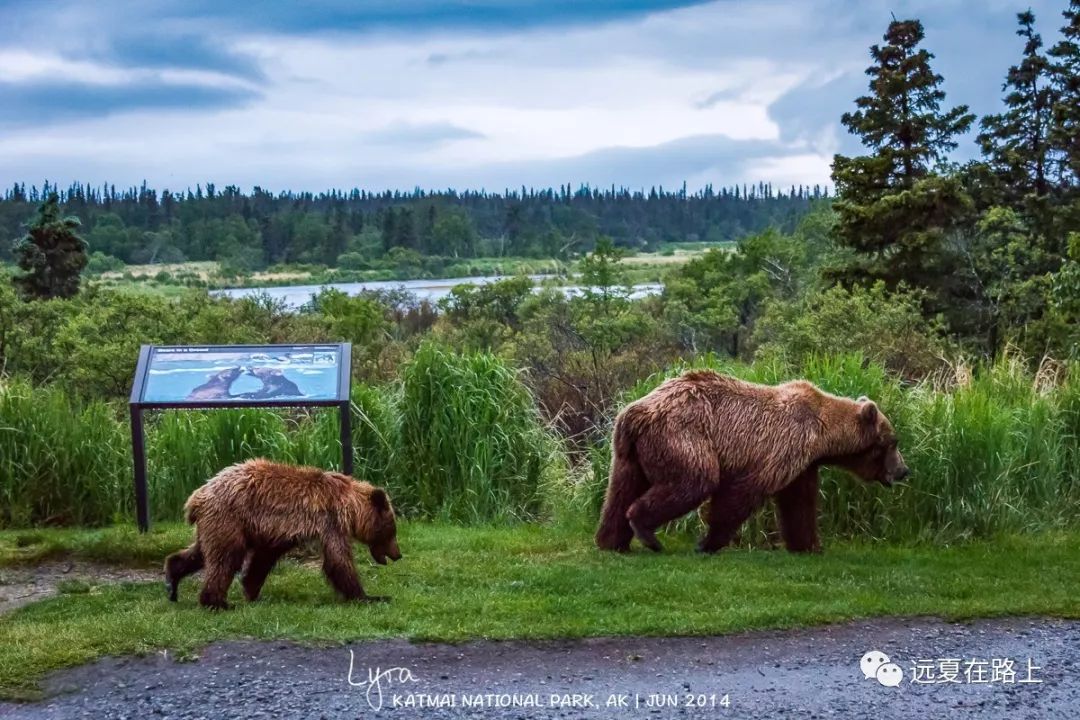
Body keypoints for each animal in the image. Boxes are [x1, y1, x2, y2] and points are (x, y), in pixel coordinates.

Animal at [166, 462, 403, 608]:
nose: (398, 554)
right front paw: (370, 597)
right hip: (228, 517)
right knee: (226, 557)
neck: (350, 506)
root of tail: (196, 497)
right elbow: (338, 560)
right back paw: (216, 602)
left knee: (200, 553)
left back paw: (172, 582)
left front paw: (251, 589)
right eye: (392, 529)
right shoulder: (331, 522)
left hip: (215, 524)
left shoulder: (280, 532)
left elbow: (264, 557)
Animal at [596, 371, 907, 552]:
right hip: (682, 435)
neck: (823, 434)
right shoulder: (784, 445)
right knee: (695, 480)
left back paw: (611, 541)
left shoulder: (804, 463)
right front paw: (708, 542)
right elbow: (744, 492)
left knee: (620, 490)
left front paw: (809, 545)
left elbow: (800, 504)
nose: (904, 470)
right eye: (892, 441)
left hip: (630, 452)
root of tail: (636, 412)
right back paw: (646, 532)